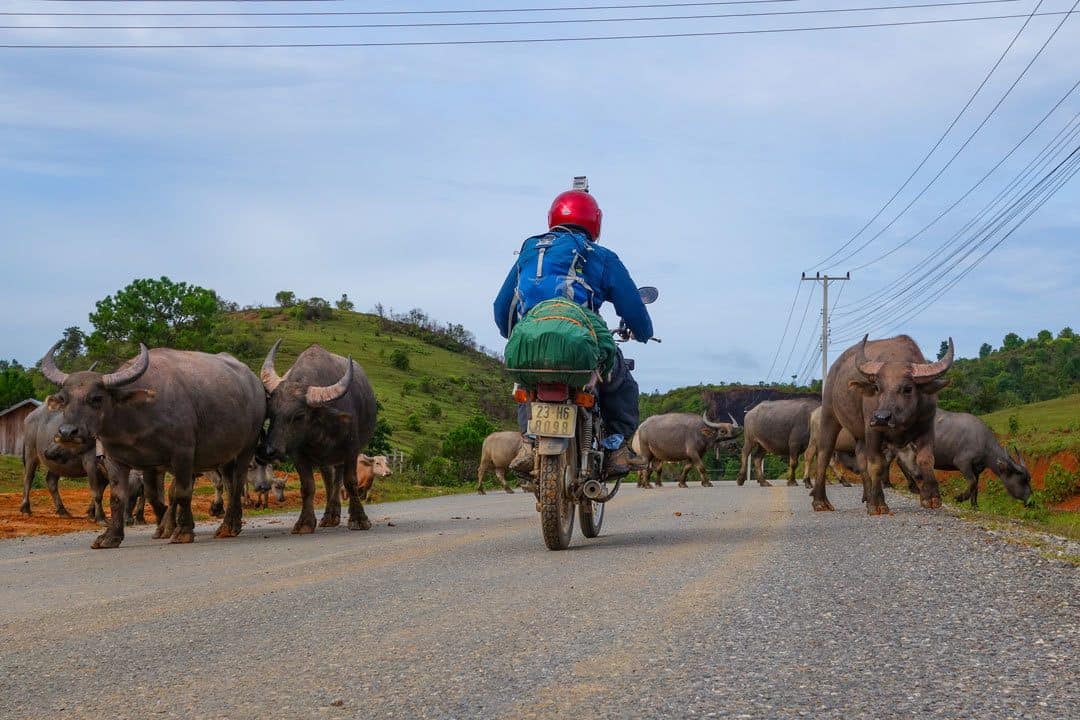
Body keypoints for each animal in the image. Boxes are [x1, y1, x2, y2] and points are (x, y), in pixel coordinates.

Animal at [39, 343, 265, 546]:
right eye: (64, 399)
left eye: (96, 398)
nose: (67, 432)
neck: (134, 419)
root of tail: (254, 383)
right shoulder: (123, 461)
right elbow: (127, 497)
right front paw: (112, 536)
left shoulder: (183, 455)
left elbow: (182, 492)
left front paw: (182, 531)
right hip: (225, 456)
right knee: (229, 484)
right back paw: (232, 524)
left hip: (246, 449)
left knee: (237, 483)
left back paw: (227, 526)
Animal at [259, 341, 378, 533]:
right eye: (271, 412)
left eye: (299, 416)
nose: (269, 450)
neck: (318, 428)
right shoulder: (298, 454)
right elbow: (308, 486)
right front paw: (305, 523)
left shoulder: (351, 449)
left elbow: (350, 481)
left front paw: (359, 519)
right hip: (326, 460)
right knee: (329, 481)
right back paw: (330, 516)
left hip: (339, 456)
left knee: (338, 480)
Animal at [812, 334, 954, 515]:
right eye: (878, 388)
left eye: (908, 388)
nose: (881, 418)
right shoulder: (873, 432)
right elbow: (876, 464)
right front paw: (878, 504)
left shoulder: (927, 427)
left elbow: (926, 458)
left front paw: (931, 498)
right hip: (829, 416)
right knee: (823, 456)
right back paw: (820, 502)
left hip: (859, 435)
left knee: (861, 459)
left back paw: (867, 497)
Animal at [894, 410, 1028, 507]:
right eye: (1022, 480)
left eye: (1028, 479)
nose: (1029, 499)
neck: (983, 443)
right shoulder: (962, 463)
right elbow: (972, 482)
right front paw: (959, 498)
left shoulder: (977, 469)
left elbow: (976, 486)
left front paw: (974, 505)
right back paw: (913, 487)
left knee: (900, 461)